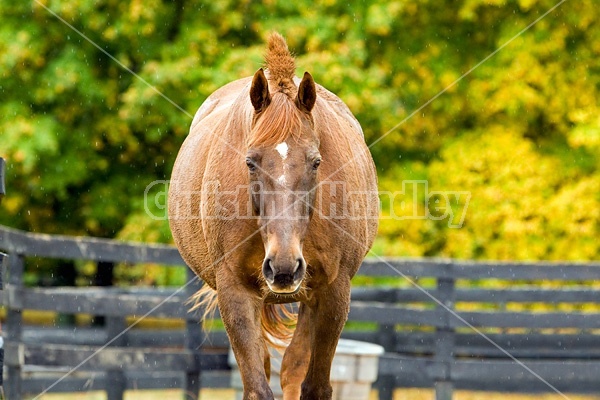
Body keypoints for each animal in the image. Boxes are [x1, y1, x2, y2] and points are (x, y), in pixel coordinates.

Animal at [166, 32, 378, 398]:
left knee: (292, 366)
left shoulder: (334, 293)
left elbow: (314, 385)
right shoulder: (234, 292)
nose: (283, 266)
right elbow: (257, 386)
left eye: (316, 162)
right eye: (250, 161)